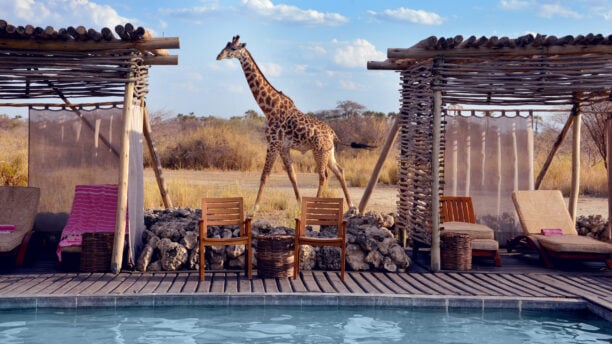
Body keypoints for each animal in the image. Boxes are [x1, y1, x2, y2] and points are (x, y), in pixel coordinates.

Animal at [218, 35, 356, 212]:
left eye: (233, 48)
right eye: (226, 45)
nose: (218, 56)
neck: (269, 108)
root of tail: (333, 133)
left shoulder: (273, 144)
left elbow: (265, 175)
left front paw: (255, 207)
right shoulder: (283, 147)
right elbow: (292, 176)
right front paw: (298, 203)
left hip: (319, 151)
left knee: (324, 175)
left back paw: (316, 206)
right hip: (329, 151)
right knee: (339, 171)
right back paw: (351, 206)